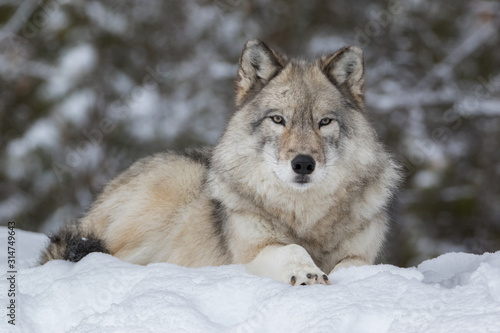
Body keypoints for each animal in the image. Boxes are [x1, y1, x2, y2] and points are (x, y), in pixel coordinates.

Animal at [42, 38, 402, 282]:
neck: (305, 217)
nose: (303, 164)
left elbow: (356, 265)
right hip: (174, 190)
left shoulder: (362, 254)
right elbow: (292, 249)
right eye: (278, 120)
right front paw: (307, 273)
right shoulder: (253, 252)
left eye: (324, 122)